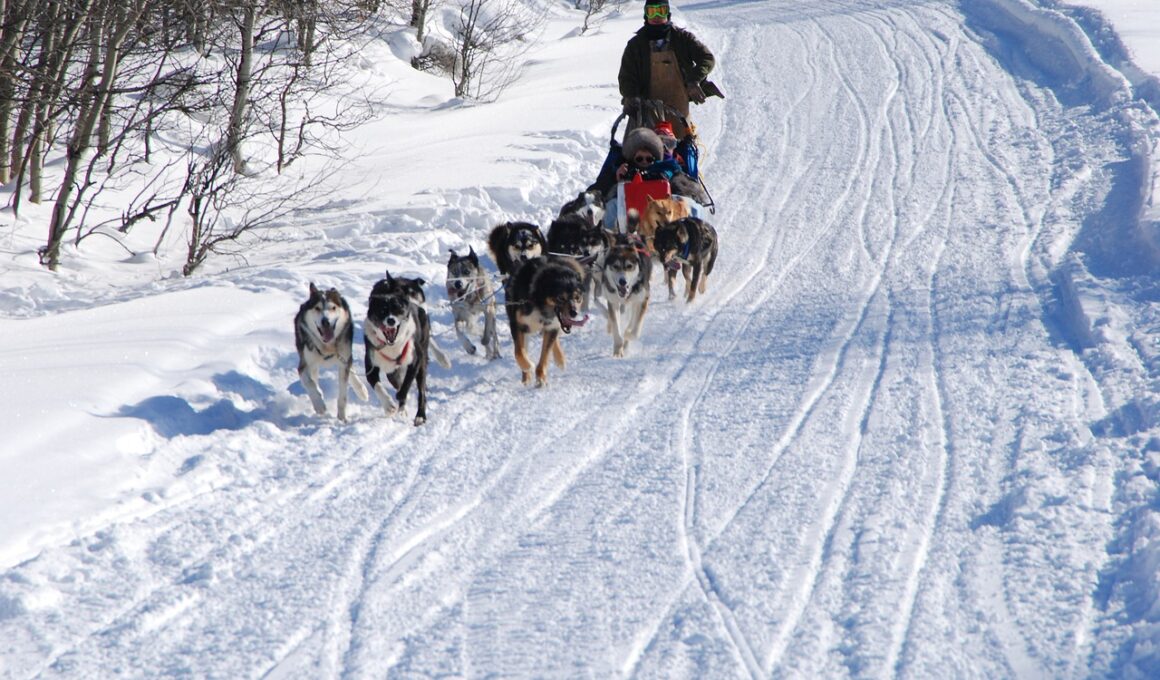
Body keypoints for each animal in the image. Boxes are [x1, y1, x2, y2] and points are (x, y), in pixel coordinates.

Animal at [294, 283, 368, 421]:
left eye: (333, 307)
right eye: (317, 308)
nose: (325, 321)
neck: (327, 346)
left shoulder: (343, 361)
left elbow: (343, 395)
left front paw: (342, 418)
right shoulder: (303, 365)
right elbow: (309, 383)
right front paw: (319, 404)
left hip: (345, 356)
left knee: (351, 370)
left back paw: (362, 390)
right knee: (314, 378)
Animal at [363, 272, 436, 425]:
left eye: (398, 309)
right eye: (382, 311)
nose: (391, 320)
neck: (392, 345)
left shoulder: (415, 360)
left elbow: (406, 385)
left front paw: (401, 398)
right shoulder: (371, 367)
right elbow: (378, 386)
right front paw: (389, 406)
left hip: (421, 364)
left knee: (421, 390)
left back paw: (419, 415)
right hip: (393, 371)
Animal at [505, 256, 588, 387]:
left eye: (577, 297)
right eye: (560, 297)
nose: (574, 313)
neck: (540, 304)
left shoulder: (552, 326)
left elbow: (545, 355)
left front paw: (541, 379)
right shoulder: (518, 325)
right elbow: (519, 352)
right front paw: (527, 366)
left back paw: (560, 359)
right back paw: (526, 376)